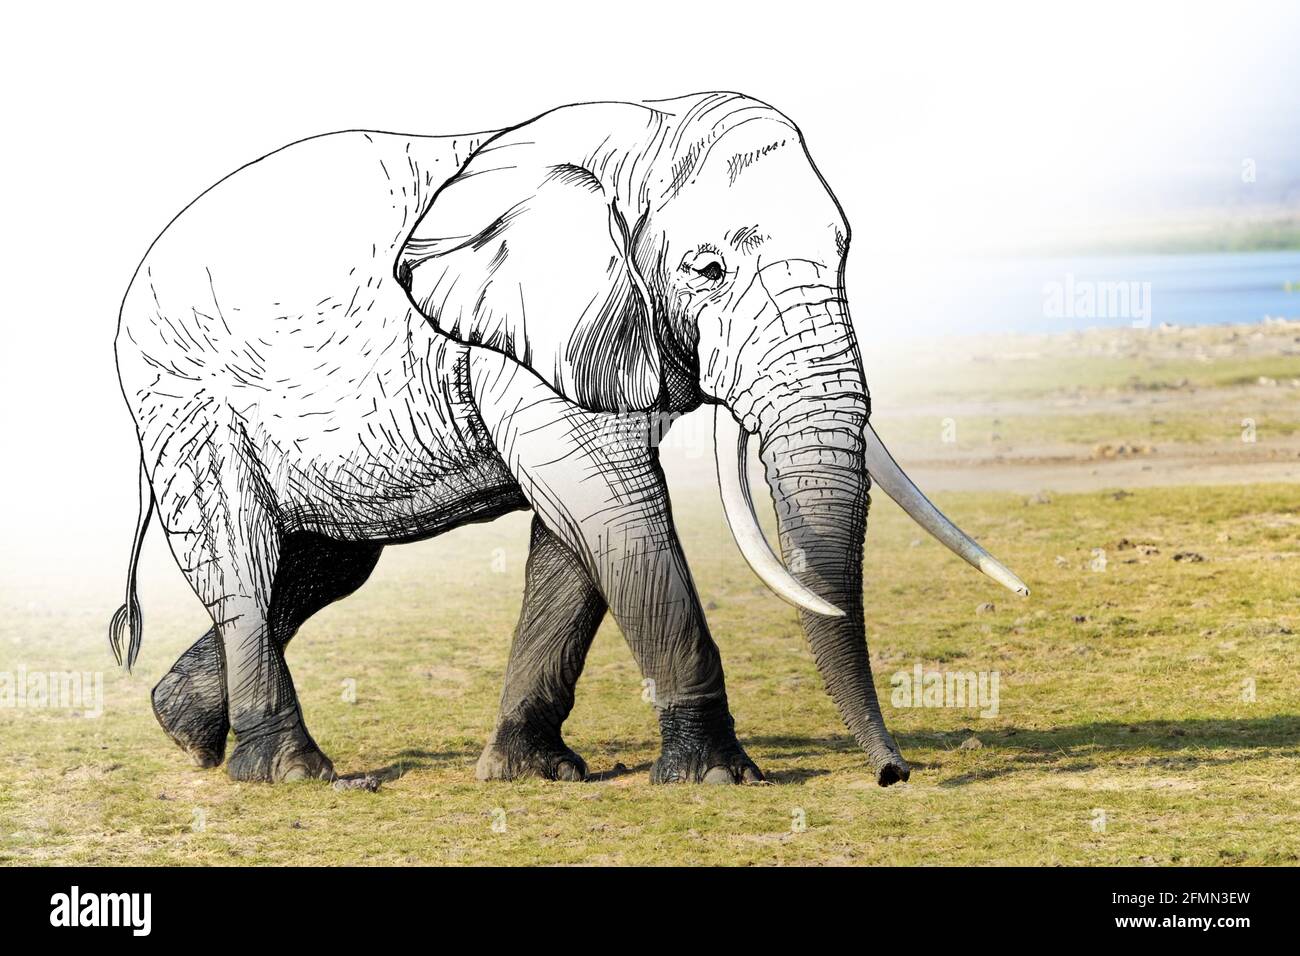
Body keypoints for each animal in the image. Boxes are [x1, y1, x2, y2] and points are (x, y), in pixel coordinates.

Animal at [111, 92, 1027, 787]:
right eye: (707, 271)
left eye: (845, 254)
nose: (893, 774)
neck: (644, 130)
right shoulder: (523, 338)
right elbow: (613, 507)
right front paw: (717, 778)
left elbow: (579, 532)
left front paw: (531, 773)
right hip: (186, 398)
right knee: (245, 553)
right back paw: (291, 773)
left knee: (322, 562)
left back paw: (182, 729)